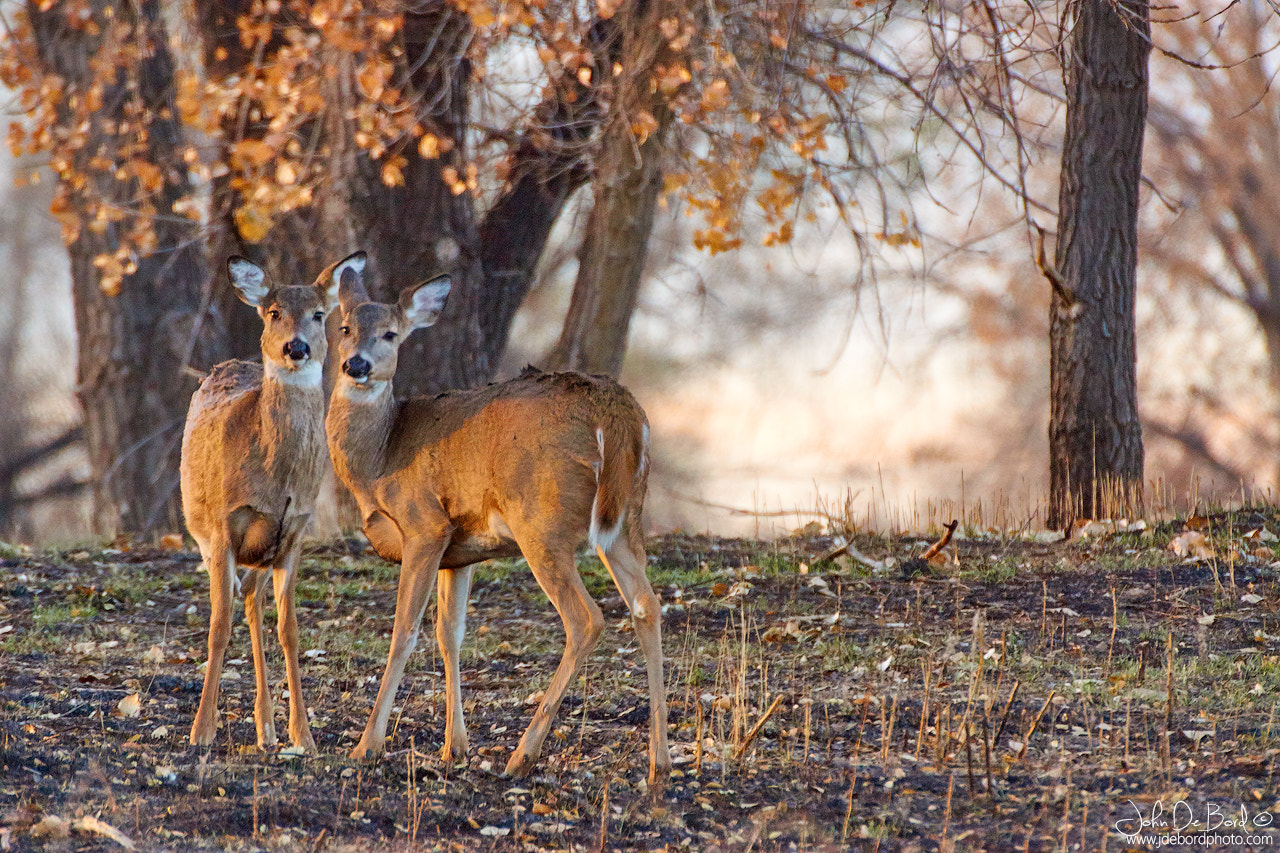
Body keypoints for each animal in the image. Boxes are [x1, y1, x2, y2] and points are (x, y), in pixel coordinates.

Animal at [177, 252, 363, 753]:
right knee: (237, 603)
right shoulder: (223, 527)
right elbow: (218, 627)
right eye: (274, 312)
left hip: (262, 551)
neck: (276, 480)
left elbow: (290, 630)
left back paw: (267, 728)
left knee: (253, 603)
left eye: (319, 314)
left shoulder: (293, 534)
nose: (295, 348)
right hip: (208, 537)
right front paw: (200, 731)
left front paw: (305, 735)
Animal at [325, 256, 675, 778]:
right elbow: (449, 635)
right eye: (346, 327)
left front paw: (368, 746)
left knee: (586, 619)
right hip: (625, 519)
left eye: (390, 333)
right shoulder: (459, 551)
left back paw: (522, 755)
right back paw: (660, 760)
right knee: (646, 605)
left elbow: (404, 631)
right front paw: (454, 747)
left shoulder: (424, 525)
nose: (356, 365)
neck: (381, 457)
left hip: (542, 521)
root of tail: (617, 412)